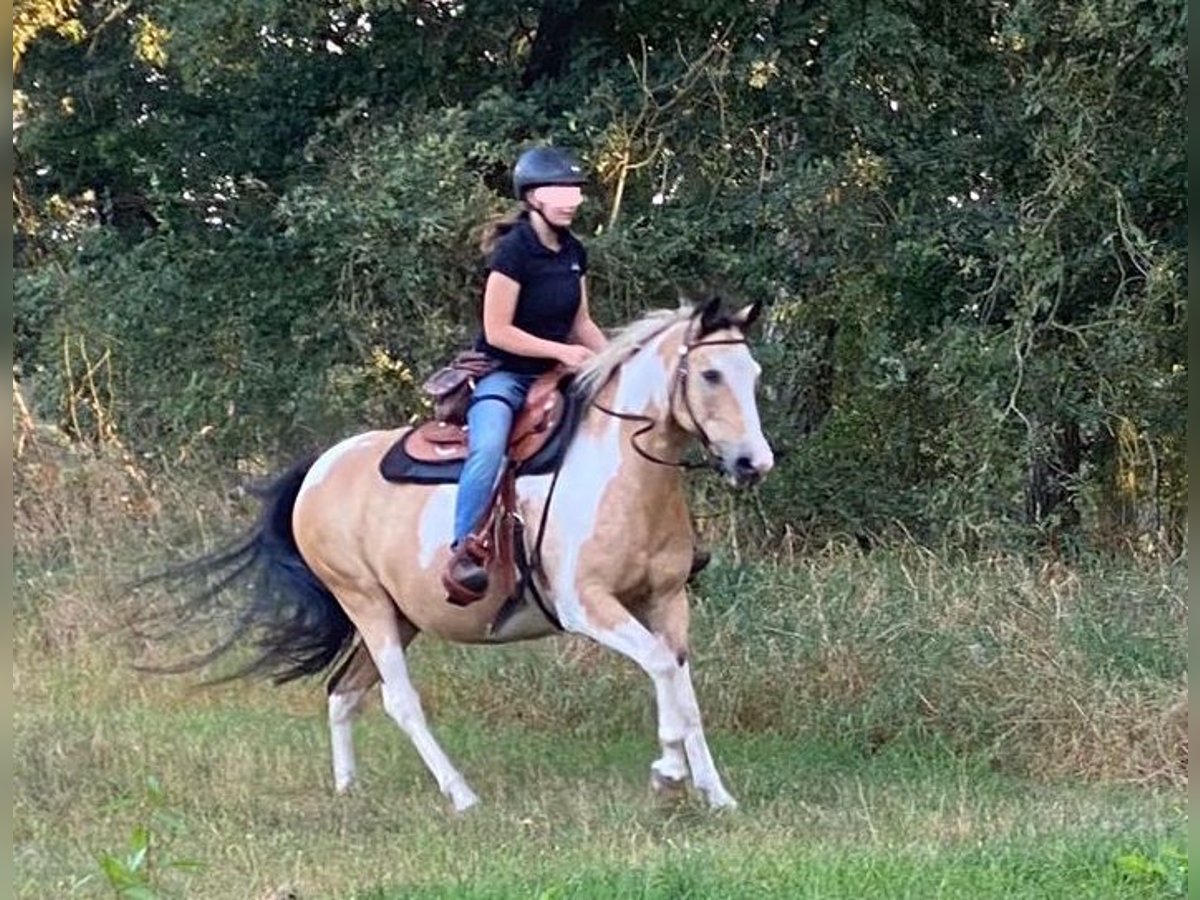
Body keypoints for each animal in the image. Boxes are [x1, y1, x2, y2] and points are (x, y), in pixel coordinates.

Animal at [150, 300, 772, 816]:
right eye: (711, 374)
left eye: (754, 375)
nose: (754, 463)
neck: (620, 472)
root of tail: (320, 468)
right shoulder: (587, 606)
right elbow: (663, 668)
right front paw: (667, 773)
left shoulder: (665, 600)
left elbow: (683, 688)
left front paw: (715, 794)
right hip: (365, 603)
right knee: (399, 700)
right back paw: (461, 795)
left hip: (398, 617)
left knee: (344, 691)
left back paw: (349, 790)